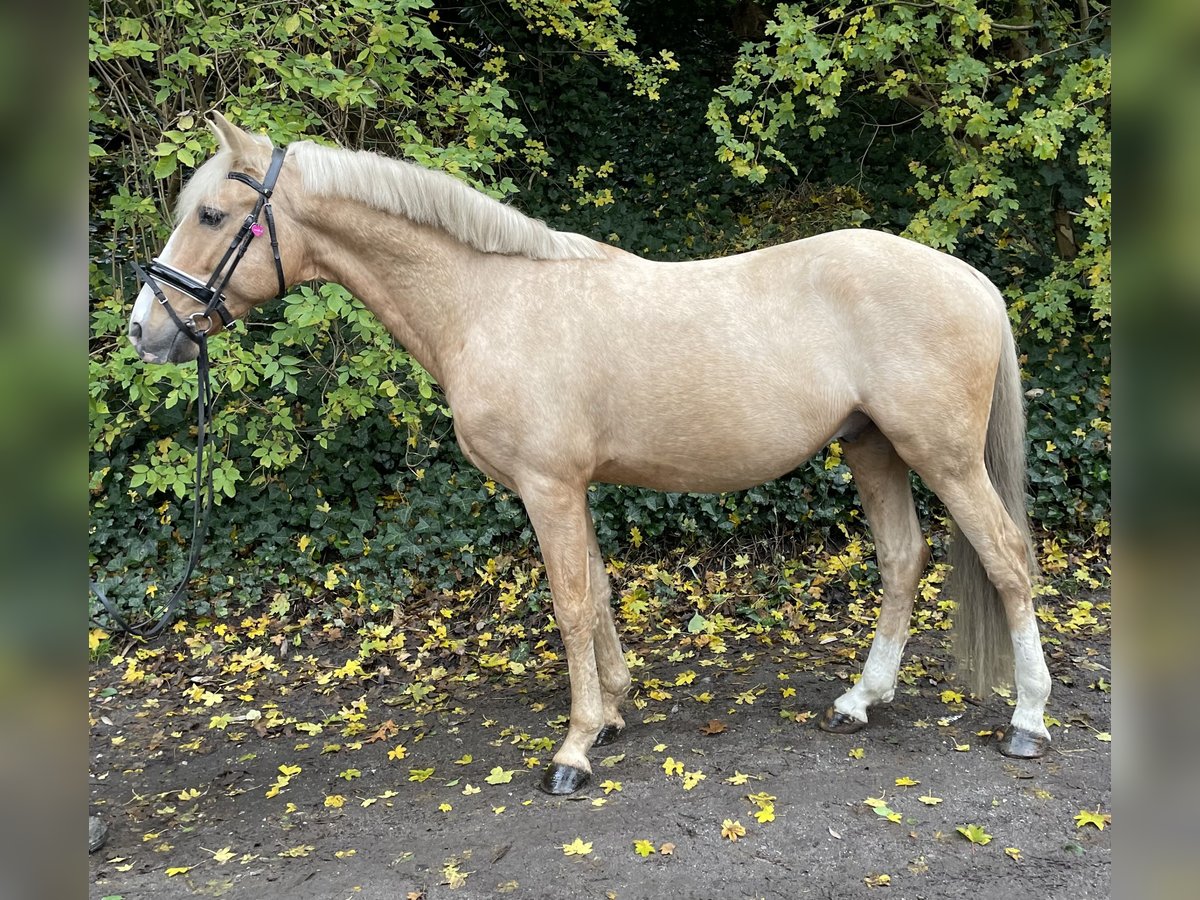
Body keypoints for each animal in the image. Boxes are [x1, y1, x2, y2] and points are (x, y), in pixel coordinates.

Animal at [129, 114, 1051, 796]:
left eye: (211, 216)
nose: (144, 330)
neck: (488, 301)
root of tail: (971, 279)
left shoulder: (548, 487)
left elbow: (571, 604)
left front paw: (571, 752)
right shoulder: (571, 489)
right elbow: (600, 595)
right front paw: (609, 714)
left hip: (943, 457)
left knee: (1007, 559)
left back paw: (1028, 722)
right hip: (873, 448)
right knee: (902, 558)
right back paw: (862, 699)